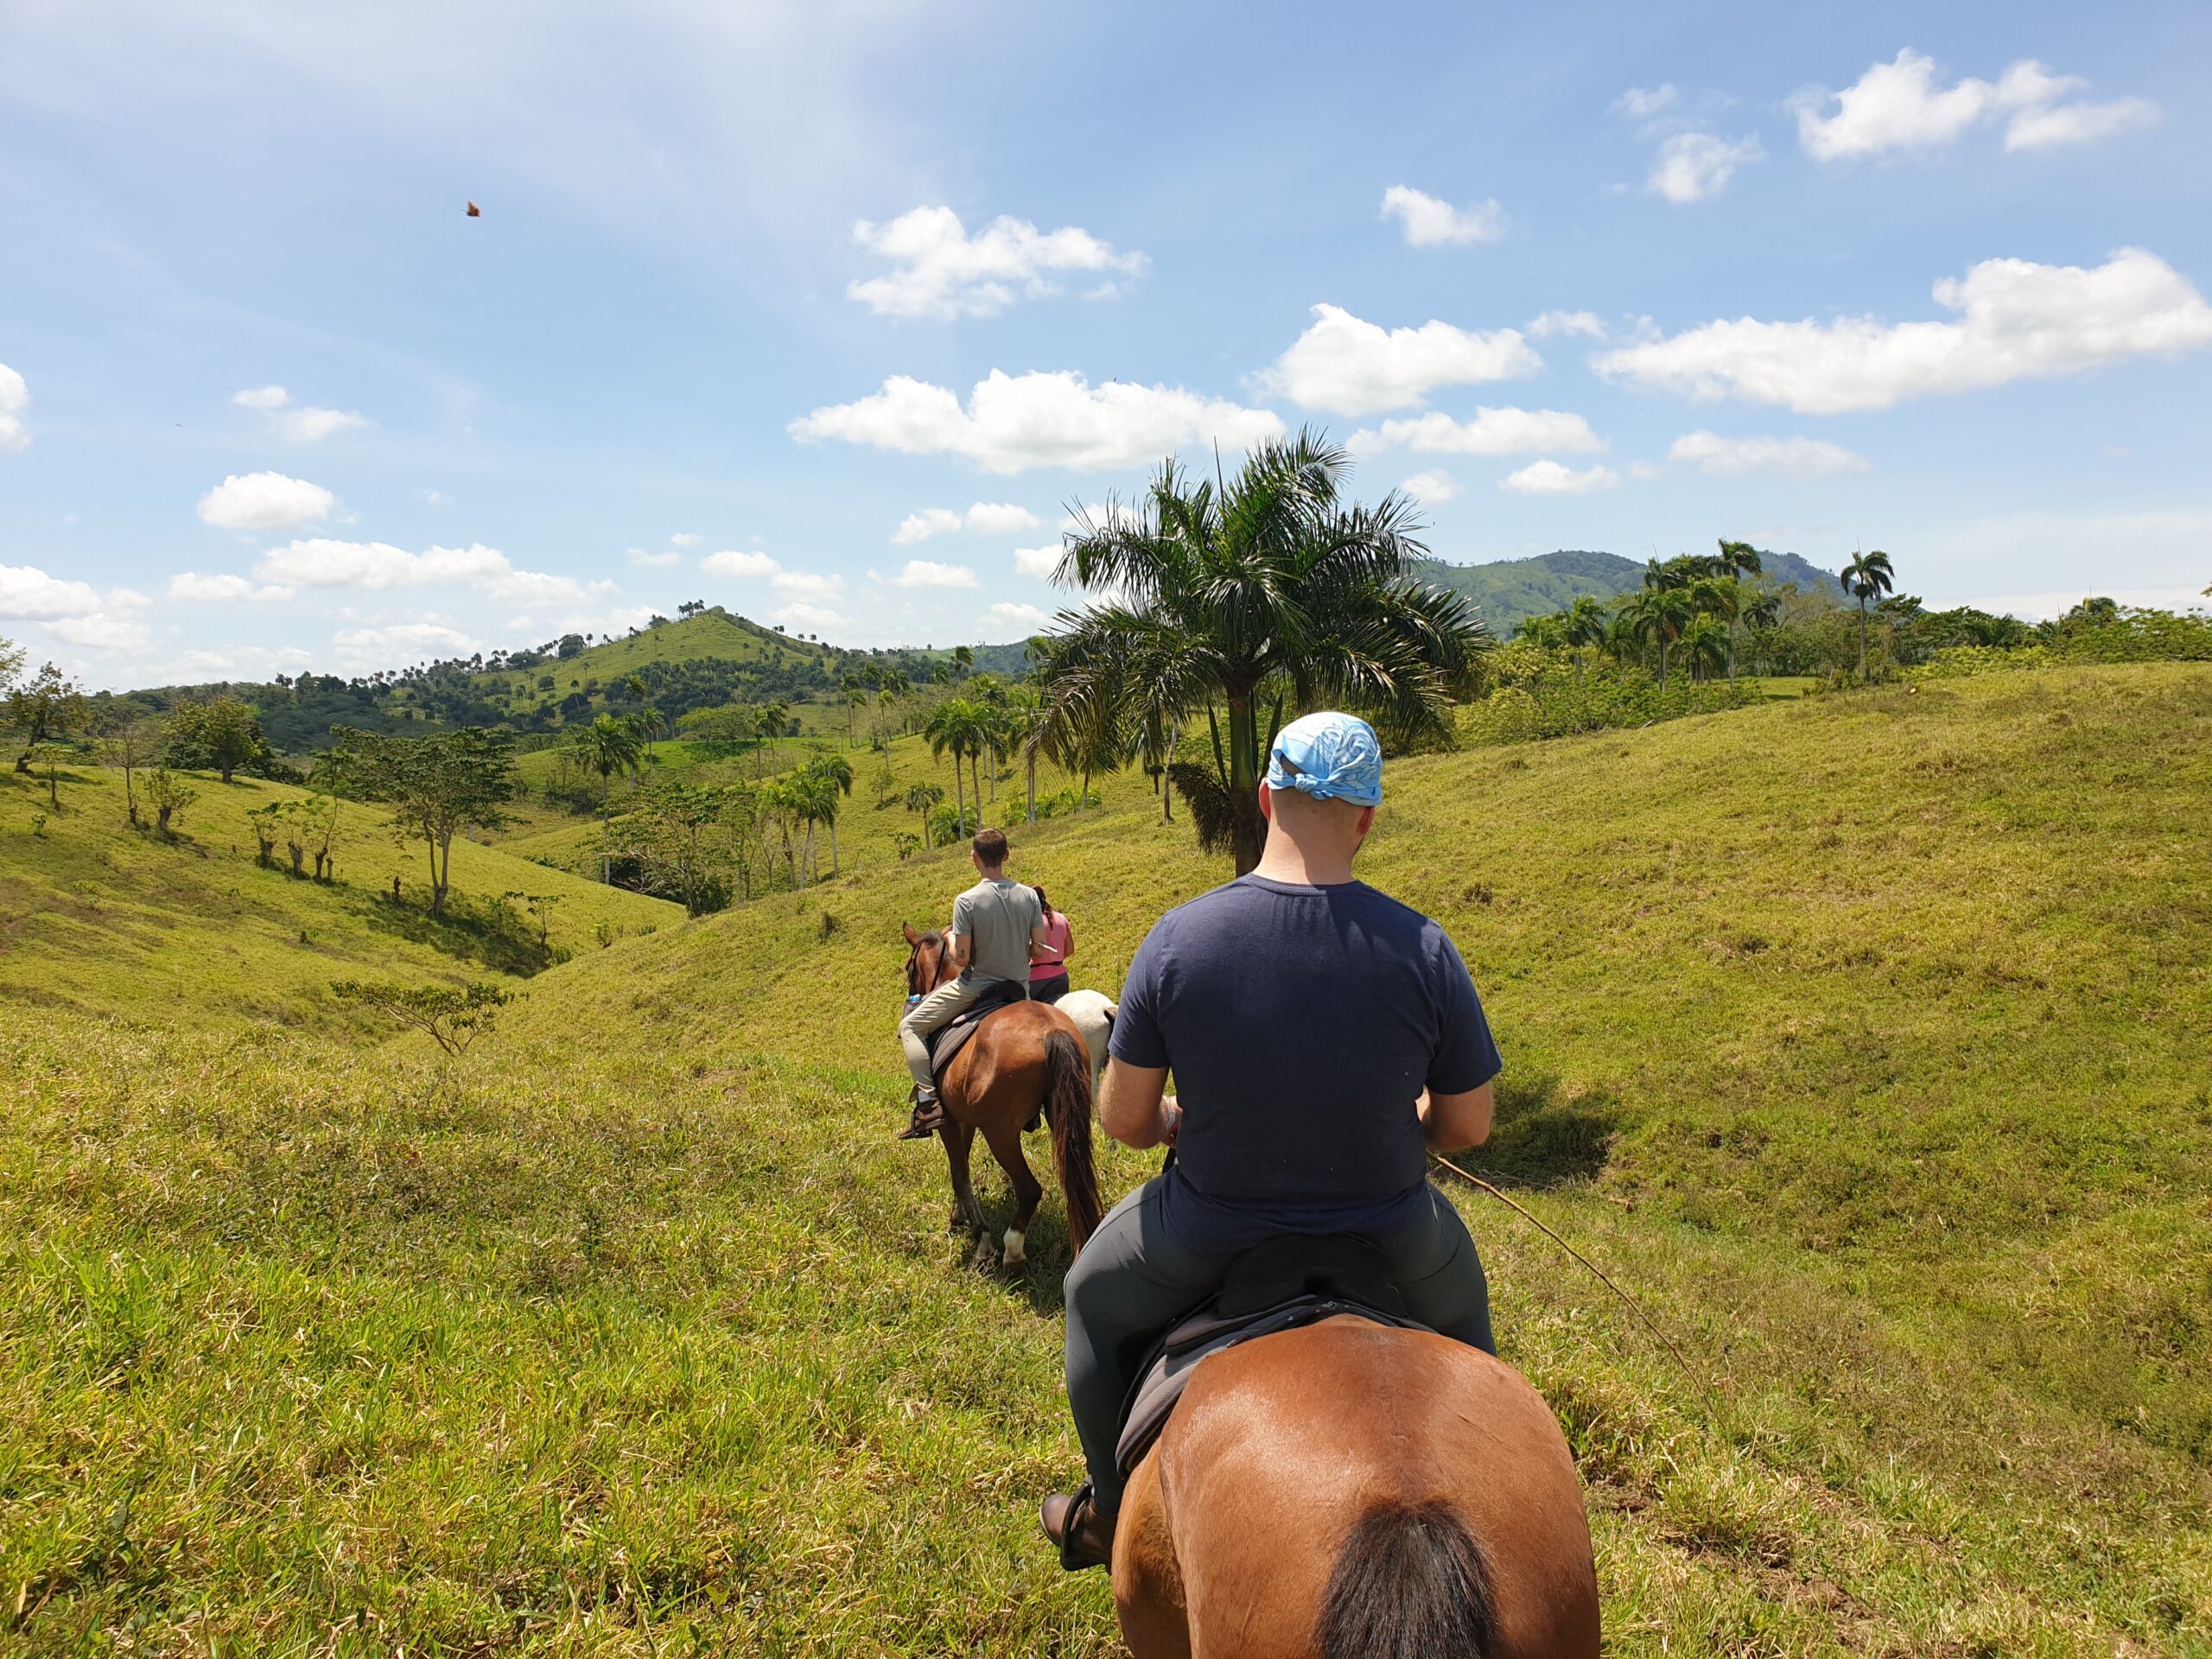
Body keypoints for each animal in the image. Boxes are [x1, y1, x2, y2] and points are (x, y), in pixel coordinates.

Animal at [901, 923, 1103, 1270]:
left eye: (908, 968)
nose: (913, 995)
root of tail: (1051, 1030)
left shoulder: (948, 1122)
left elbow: (960, 1175)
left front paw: (981, 1239)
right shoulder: (964, 1120)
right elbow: (962, 1168)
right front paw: (959, 1217)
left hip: (1000, 1133)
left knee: (1030, 1189)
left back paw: (1012, 1251)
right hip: (1067, 1116)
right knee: (1073, 1177)